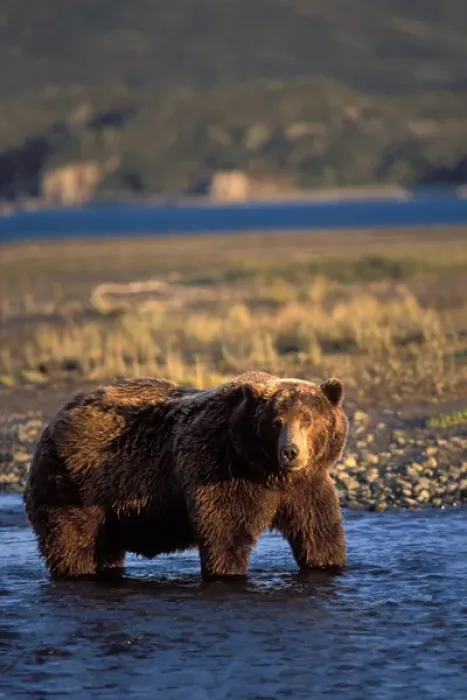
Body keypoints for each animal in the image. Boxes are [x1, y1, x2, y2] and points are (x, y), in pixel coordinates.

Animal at [24, 372, 349, 581]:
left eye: (308, 419)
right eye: (276, 421)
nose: (291, 451)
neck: (268, 473)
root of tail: (55, 419)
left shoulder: (307, 485)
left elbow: (318, 531)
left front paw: (326, 564)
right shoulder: (220, 468)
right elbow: (226, 534)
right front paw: (227, 571)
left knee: (104, 549)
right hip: (74, 487)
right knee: (73, 544)